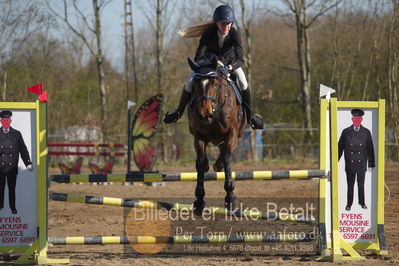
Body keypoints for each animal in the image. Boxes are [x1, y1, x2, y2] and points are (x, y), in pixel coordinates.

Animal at [188, 57, 247, 214]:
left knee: (225, 153)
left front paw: (230, 198)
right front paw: (199, 200)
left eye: (215, 83)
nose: (205, 115)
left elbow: (227, 159)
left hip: (236, 134)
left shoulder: (232, 133)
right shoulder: (199, 136)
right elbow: (201, 163)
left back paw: (218, 165)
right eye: (196, 83)